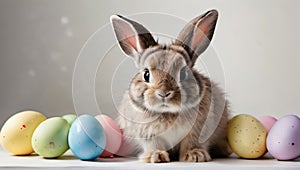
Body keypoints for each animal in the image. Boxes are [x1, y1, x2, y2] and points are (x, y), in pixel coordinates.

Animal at [110, 9, 232, 163]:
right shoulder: (147, 134)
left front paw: (195, 155)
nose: (164, 93)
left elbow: (191, 142)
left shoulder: (199, 130)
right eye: (146, 74)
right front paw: (155, 156)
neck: (167, 112)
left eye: (184, 73)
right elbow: (154, 144)